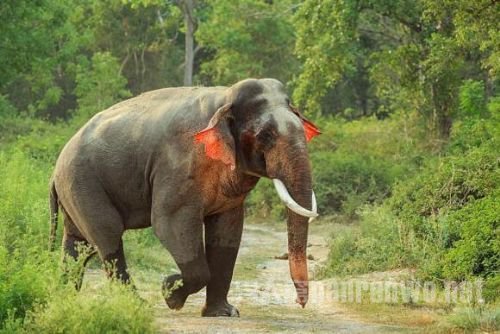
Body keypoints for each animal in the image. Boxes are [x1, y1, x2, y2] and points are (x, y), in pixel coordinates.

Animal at [49, 77, 320, 316]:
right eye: (265, 135)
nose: (300, 303)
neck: (225, 97)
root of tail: (55, 170)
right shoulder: (177, 166)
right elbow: (169, 223)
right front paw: (170, 294)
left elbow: (227, 230)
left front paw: (223, 313)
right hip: (83, 182)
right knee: (107, 235)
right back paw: (137, 305)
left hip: (75, 190)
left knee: (78, 243)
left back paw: (64, 299)